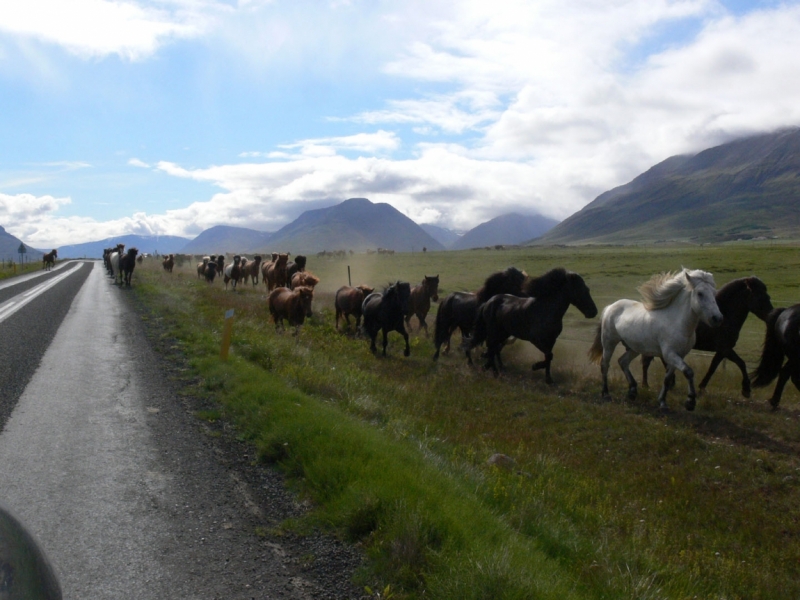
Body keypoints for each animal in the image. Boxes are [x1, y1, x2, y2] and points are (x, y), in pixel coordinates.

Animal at [466, 268, 596, 382]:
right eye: (582, 290)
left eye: (588, 289)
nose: (594, 312)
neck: (547, 310)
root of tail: (488, 302)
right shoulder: (535, 339)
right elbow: (549, 355)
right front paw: (535, 366)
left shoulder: (551, 340)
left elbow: (549, 357)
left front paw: (549, 379)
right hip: (494, 332)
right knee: (490, 348)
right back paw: (492, 371)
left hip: (503, 333)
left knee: (493, 349)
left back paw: (491, 369)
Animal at [588, 268, 724, 412]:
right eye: (700, 293)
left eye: (714, 293)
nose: (717, 318)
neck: (676, 322)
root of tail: (610, 307)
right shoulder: (670, 354)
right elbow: (688, 372)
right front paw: (690, 402)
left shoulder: (679, 355)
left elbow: (667, 379)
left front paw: (663, 402)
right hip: (609, 343)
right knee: (605, 365)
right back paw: (606, 394)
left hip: (634, 347)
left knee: (622, 361)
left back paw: (632, 392)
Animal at [640, 276, 772, 398]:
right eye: (761, 297)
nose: (771, 315)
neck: (725, 317)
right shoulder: (726, 349)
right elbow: (741, 363)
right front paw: (746, 389)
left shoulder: (722, 351)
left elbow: (713, 367)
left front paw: (702, 387)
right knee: (647, 362)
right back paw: (646, 385)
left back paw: (669, 382)